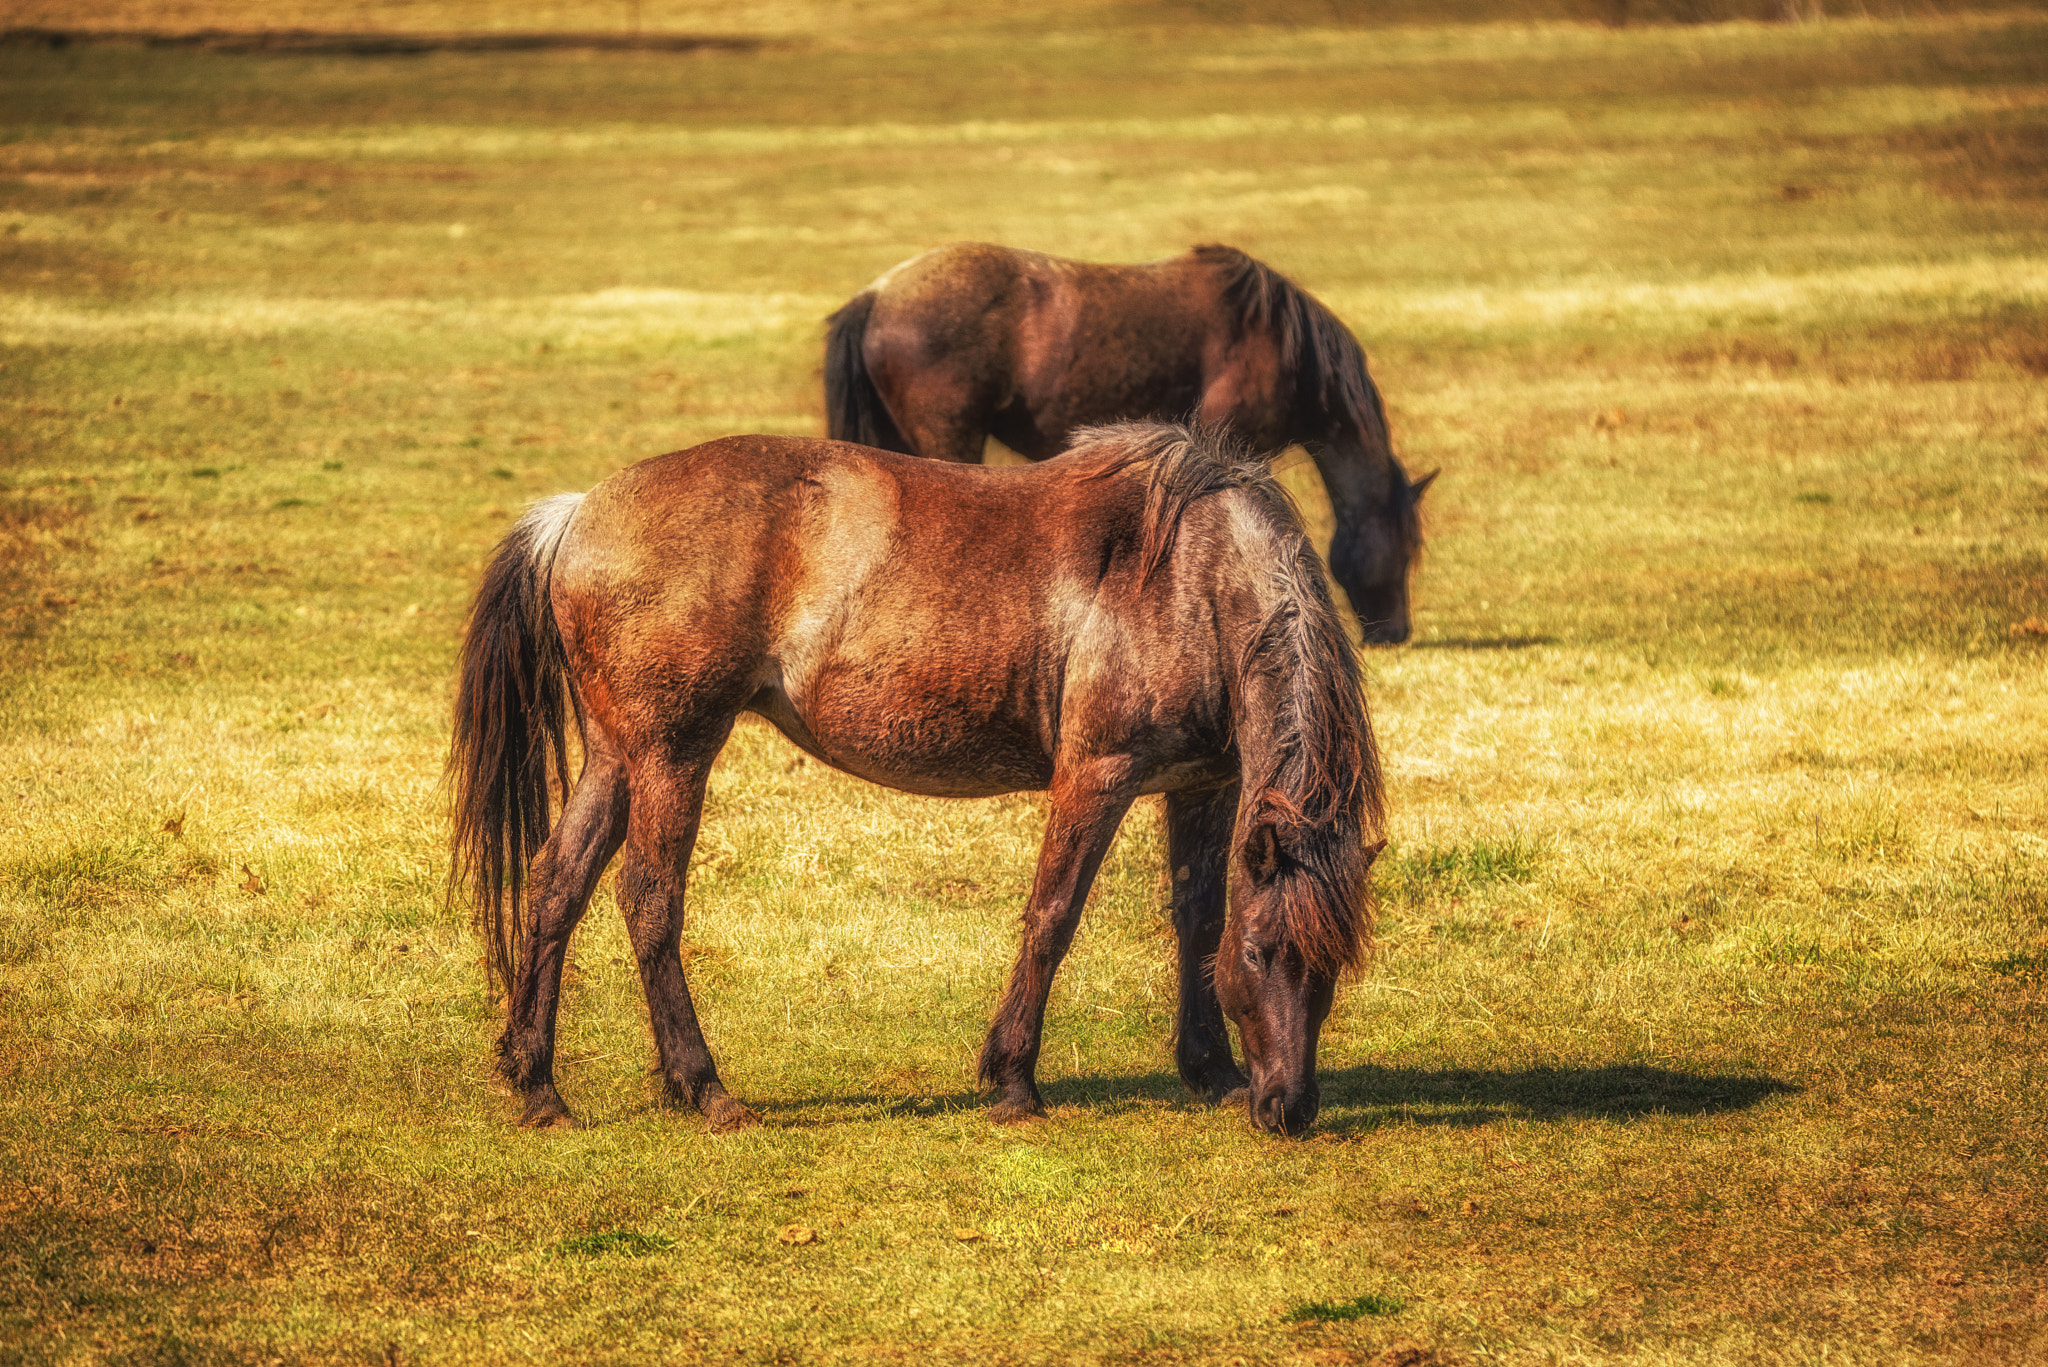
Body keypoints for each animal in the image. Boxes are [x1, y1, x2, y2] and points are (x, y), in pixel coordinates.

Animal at [442, 422, 1384, 1139]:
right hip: (674, 754)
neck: (1193, 575)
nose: (1288, 1106)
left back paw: (539, 1085)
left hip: (617, 755)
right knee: (649, 899)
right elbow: (1053, 915)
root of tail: (578, 513)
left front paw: (1209, 1069)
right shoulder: (1098, 775)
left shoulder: (1203, 786)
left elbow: (1195, 919)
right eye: (1264, 953)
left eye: (1332, 963)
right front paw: (1013, 1079)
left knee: (556, 885)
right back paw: (704, 1087)